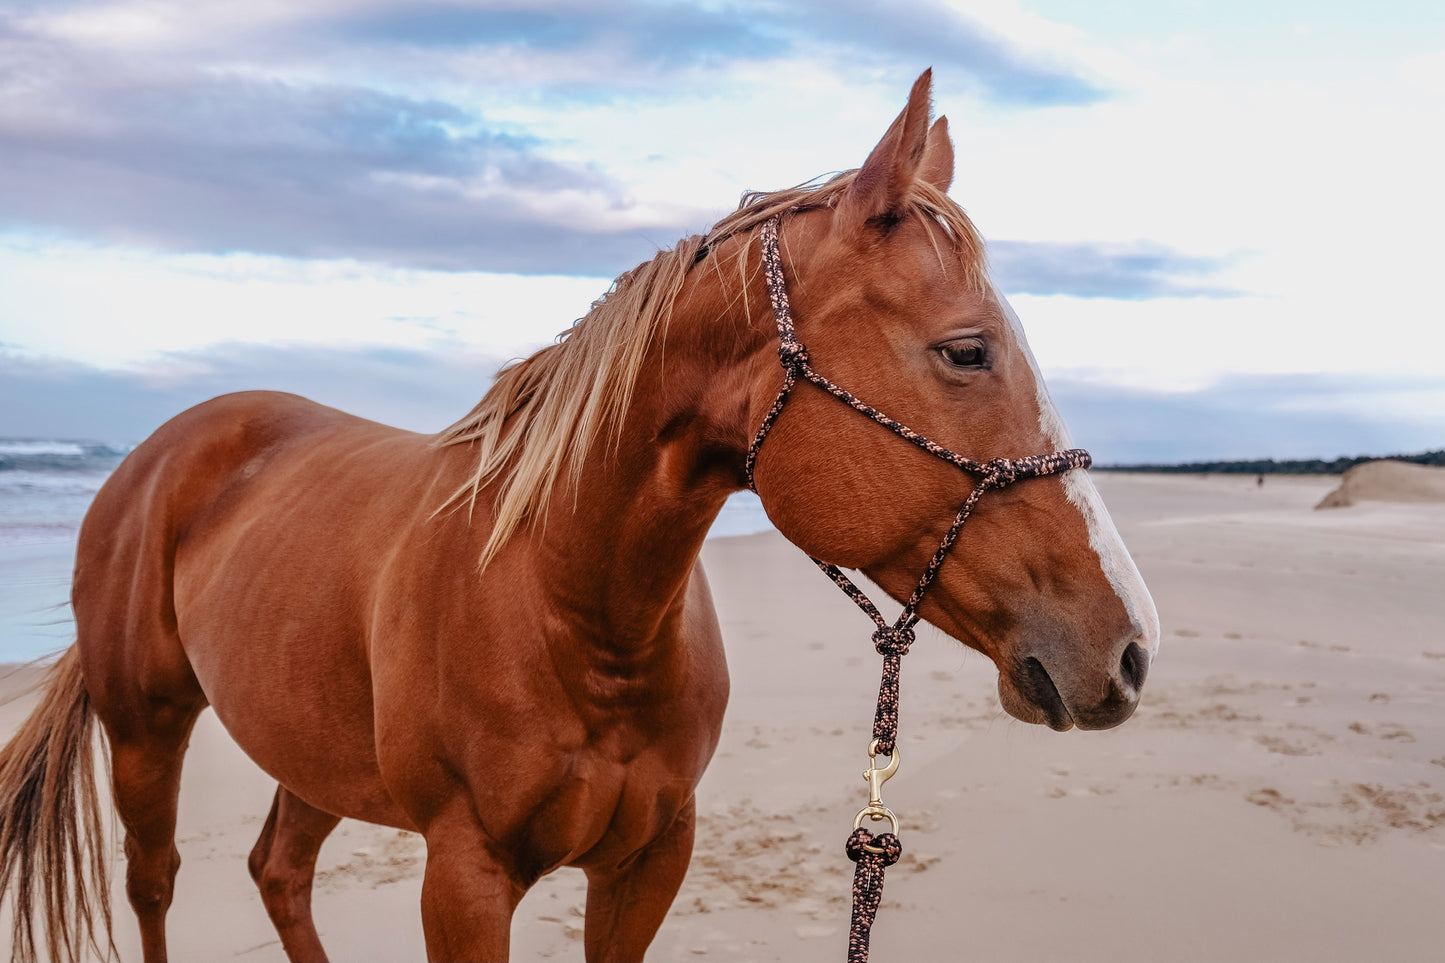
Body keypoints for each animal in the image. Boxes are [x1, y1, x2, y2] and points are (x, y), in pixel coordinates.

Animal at [0, 73, 1156, 960]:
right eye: (966, 350)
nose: (1130, 647)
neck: (566, 599)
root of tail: (165, 447)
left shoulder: (648, 863)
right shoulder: (465, 876)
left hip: (306, 743)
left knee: (277, 870)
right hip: (147, 728)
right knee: (155, 882)